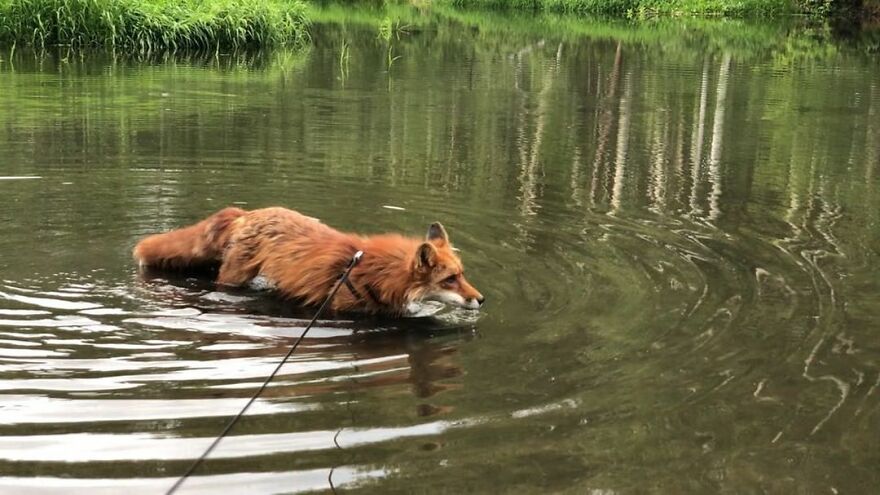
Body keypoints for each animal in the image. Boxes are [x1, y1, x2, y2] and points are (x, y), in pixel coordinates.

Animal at [132, 207, 484, 315]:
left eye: (463, 274)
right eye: (450, 279)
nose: (481, 299)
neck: (373, 271)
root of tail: (247, 212)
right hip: (233, 279)